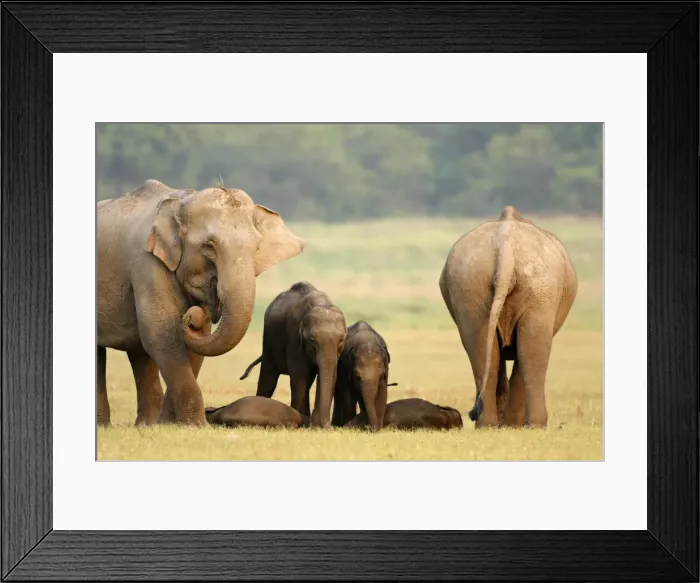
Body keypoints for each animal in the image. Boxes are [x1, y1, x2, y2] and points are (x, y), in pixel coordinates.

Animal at [96, 179, 305, 427]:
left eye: (256, 248)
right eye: (209, 247)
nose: (196, 314)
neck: (182, 200)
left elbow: (197, 341)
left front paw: (172, 424)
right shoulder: (146, 264)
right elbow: (162, 334)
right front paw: (194, 425)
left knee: (139, 353)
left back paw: (147, 424)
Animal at [239, 281, 346, 428]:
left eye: (341, 340)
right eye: (312, 340)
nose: (328, 427)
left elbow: (331, 375)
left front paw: (315, 425)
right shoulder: (293, 338)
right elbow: (300, 376)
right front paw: (304, 423)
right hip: (268, 340)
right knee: (268, 378)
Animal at [438, 205, 577, 429]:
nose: (470, 413)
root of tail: (506, 250)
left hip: (471, 286)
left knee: (484, 350)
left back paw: (488, 424)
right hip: (539, 290)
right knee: (529, 352)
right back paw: (528, 425)